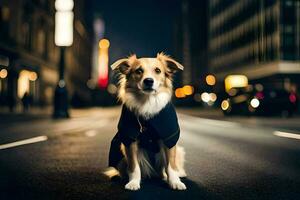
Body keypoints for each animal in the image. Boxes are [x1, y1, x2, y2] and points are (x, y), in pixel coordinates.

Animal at [104, 52, 186, 191]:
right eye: (138, 71)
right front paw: (133, 182)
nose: (148, 80)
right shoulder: (129, 139)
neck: (147, 102)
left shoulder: (169, 138)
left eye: (158, 71)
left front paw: (175, 182)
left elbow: (171, 165)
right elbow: (134, 167)